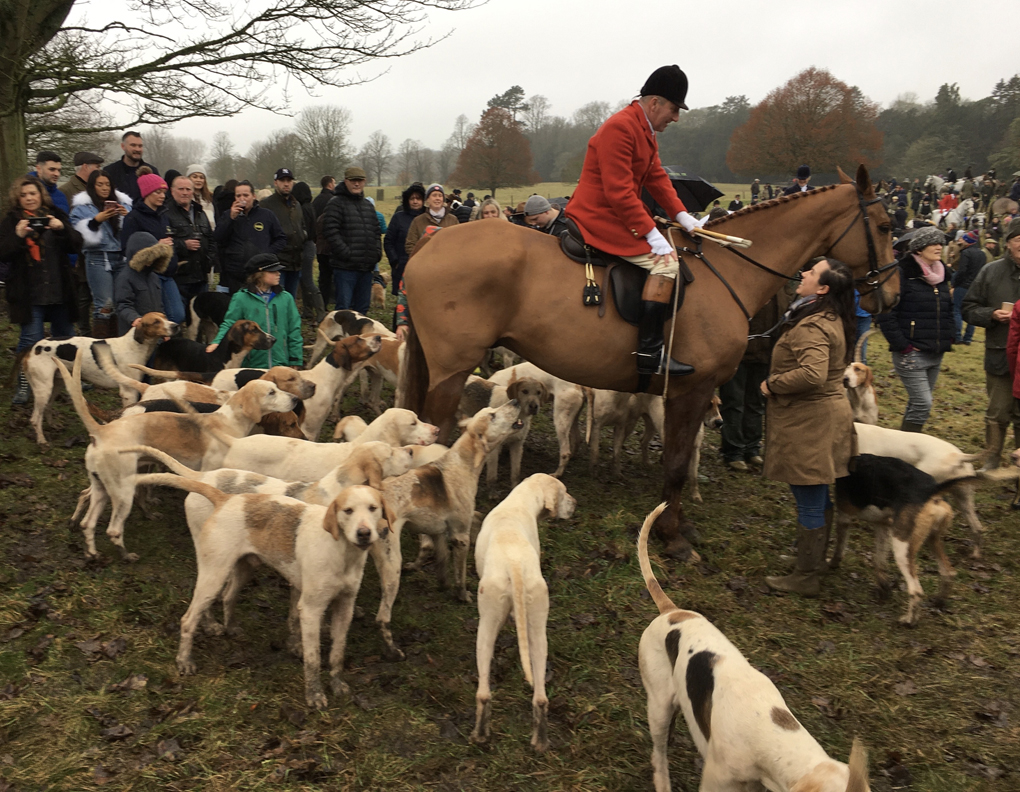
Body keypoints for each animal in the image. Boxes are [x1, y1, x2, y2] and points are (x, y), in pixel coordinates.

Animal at [401, 165, 897, 555]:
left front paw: (677, 526)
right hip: (452, 370)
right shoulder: (690, 391)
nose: (889, 296)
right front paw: (672, 536)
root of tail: (432, 243)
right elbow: (675, 465)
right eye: (886, 225)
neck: (730, 273)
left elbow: (677, 460)